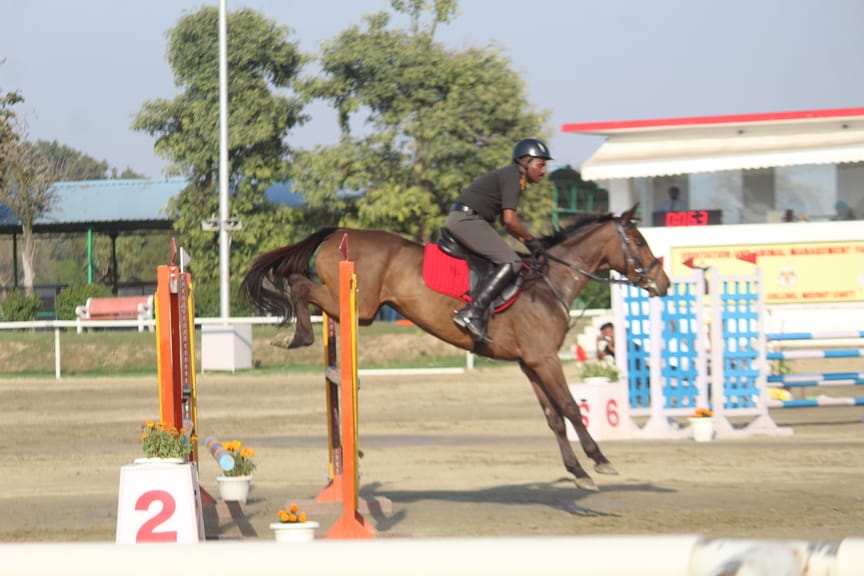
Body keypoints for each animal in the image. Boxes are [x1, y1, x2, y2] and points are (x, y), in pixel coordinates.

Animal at [240, 204, 670, 491]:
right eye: (638, 240)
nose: (662, 284)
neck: (551, 283)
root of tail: (338, 231)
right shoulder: (545, 359)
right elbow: (570, 408)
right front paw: (600, 460)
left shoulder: (530, 363)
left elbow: (554, 418)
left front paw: (578, 473)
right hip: (359, 307)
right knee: (298, 283)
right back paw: (297, 336)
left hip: (359, 311)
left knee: (303, 287)